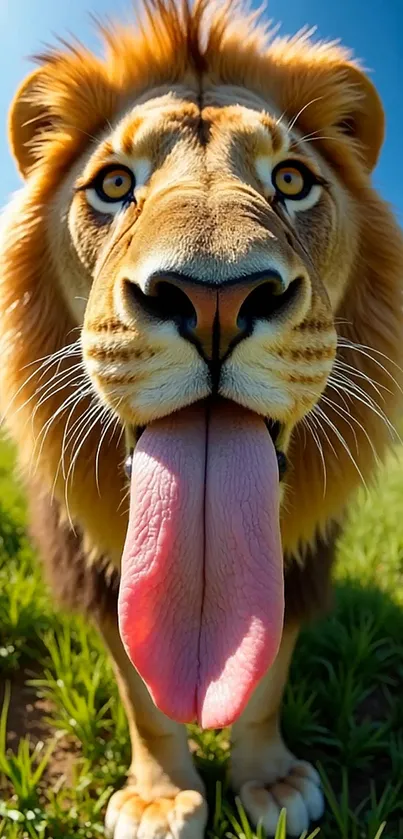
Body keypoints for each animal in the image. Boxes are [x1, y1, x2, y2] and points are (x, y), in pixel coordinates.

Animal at [0, 3, 403, 836]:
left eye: (291, 180)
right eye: (115, 183)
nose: (215, 298)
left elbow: (269, 674)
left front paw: (270, 779)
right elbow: (140, 692)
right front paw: (159, 796)